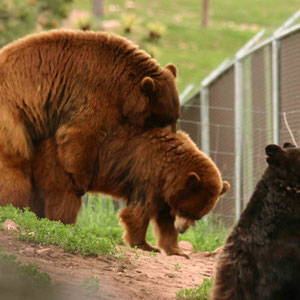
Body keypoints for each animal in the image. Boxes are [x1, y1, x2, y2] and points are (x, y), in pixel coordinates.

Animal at [0, 29, 179, 209]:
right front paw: (81, 183)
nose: (173, 136)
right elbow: (81, 134)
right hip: (11, 115)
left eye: (175, 118)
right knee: (14, 162)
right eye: (162, 121)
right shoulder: (94, 91)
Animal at [31, 127, 230, 258]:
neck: (169, 170)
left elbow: (164, 221)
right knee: (64, 196)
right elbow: (138, 212)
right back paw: (62, 224)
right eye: (184, 211)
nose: (182, 229)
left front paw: (177, 251)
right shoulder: (147, 174)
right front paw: (145, 245)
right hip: (64, 162)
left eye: (197, 217)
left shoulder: (163, 192)